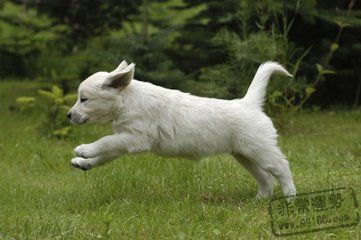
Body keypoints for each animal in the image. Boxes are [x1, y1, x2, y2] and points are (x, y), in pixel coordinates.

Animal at [67, 61, 296, 198]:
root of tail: (249, 103)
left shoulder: (136, 139)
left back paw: (290, 198)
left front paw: (84, 149)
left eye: (84, 99)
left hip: (261, 149)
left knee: (282, 168)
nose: (68, 115)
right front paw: (84, 162)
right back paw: (260, 199)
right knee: (265, 177)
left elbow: (105, 141)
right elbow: (106, 153)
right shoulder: (125, 139)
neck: (127, 100)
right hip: (244, 155)